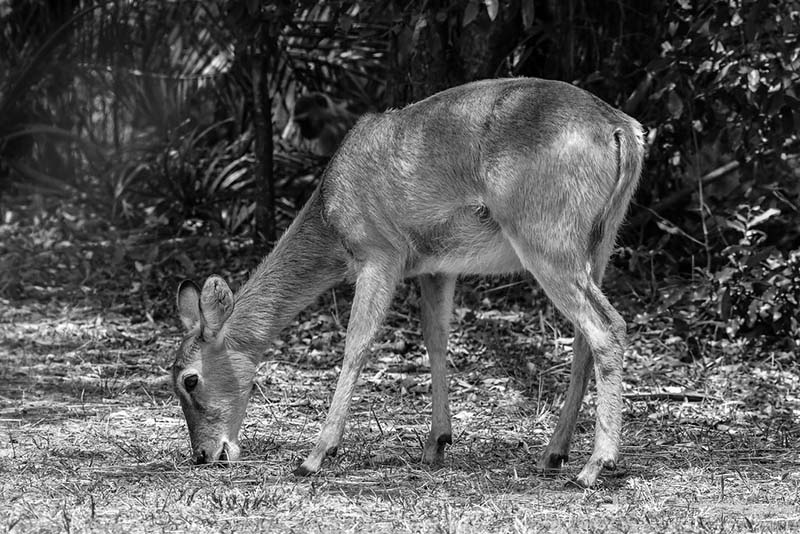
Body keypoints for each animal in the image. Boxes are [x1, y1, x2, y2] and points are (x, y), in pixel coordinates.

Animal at [173, 76, 644, 490]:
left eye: (188, 380)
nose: (204, 454)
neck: (330, 218)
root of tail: (625, 130)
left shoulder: (380, 253)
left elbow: (357, 343)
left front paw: (315, 456)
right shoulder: (437, 266)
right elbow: (435, 338)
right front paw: (436, 443)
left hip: (546, 237)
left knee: (607, 327)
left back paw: (594, 466)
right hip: (601, 241)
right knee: (586, 336)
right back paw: (554, 453)